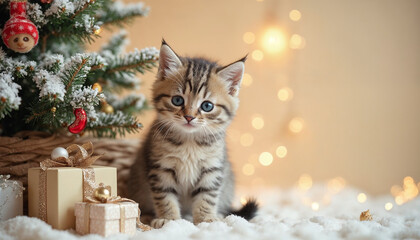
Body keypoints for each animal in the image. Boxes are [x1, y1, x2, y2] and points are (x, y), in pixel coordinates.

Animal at [128, 39, 258, 229]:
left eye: (207, 106)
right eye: (177, 100)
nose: (189, 117)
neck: (190, 141)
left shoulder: (212, 168)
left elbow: (207, 196)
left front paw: (206, 219)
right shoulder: (161, 168)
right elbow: (165, 196)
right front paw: (169, 220)